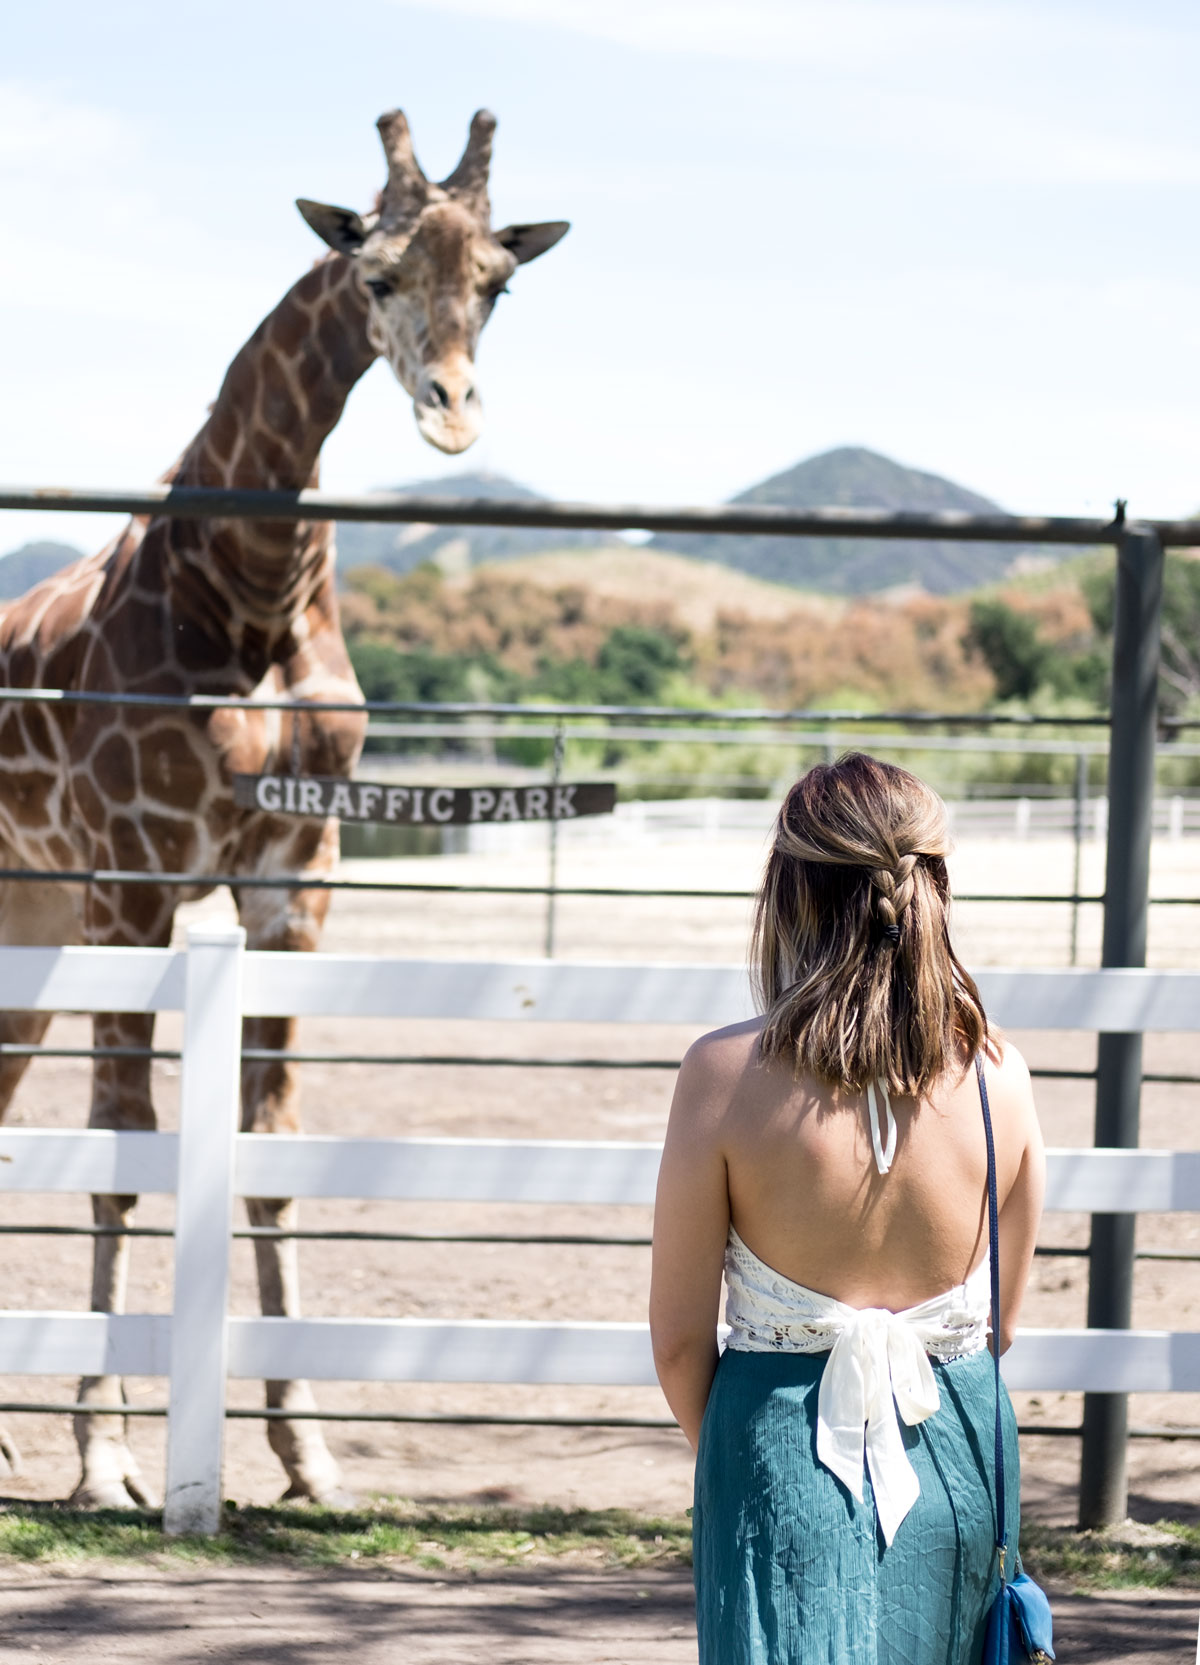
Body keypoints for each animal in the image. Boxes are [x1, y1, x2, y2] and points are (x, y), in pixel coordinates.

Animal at [0, 108, 568, 1508]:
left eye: (499, 283)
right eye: (375, 274)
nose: (451, 415)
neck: (249, 590)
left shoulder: (294, 878)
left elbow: (273, 1150)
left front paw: (310, 1451)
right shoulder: (137, 875)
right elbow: (120, 1148)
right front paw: (105, 1461)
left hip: (33, 922)